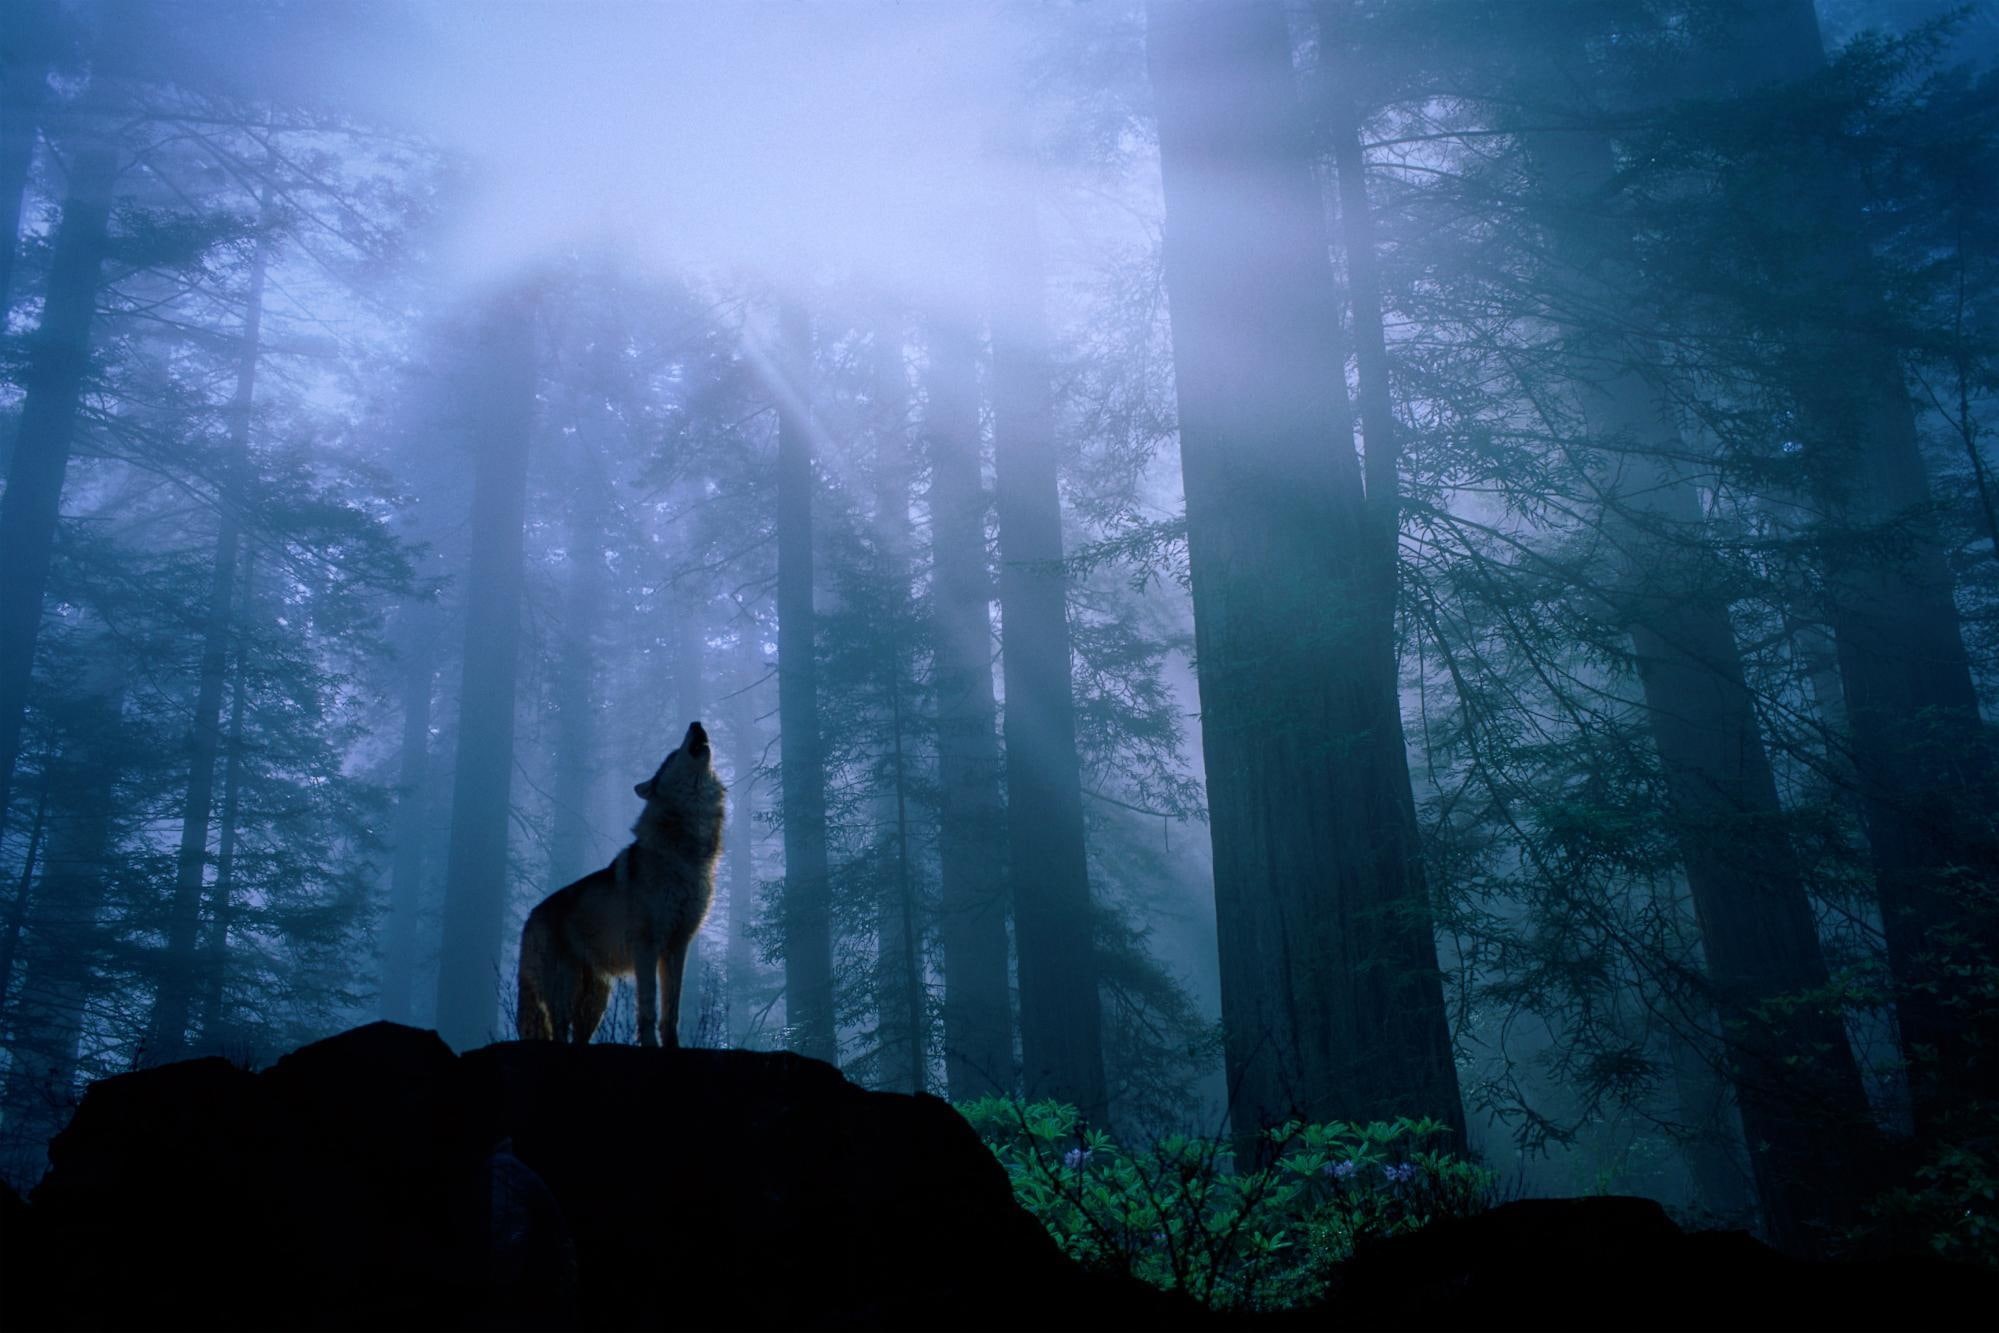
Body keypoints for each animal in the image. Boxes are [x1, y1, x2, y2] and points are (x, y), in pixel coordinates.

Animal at [515, 721, 726, 1047]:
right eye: (672, 755)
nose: (696, 723)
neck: (685, 851)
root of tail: (530, 917)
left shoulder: (677, 945)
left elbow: (671, 1010)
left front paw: (673, 1046)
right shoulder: (646, 946)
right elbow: (648, 1007)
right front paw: (650, 1045)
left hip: (595, 1001)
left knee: (577, 1037)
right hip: (564, 991)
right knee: (559, 1032)